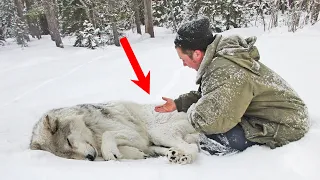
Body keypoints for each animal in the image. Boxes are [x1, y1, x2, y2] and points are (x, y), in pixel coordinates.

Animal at [30, 100, 200, 164]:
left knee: (192, 147)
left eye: (69, 142)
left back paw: (184, 158)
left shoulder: (134, 135)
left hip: (158, 132)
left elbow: (108, 135)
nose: (90, 158)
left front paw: (110, 151)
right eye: (69, 157)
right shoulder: (141, 143)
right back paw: (173, 154)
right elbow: (129, 150)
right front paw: (135, 154)